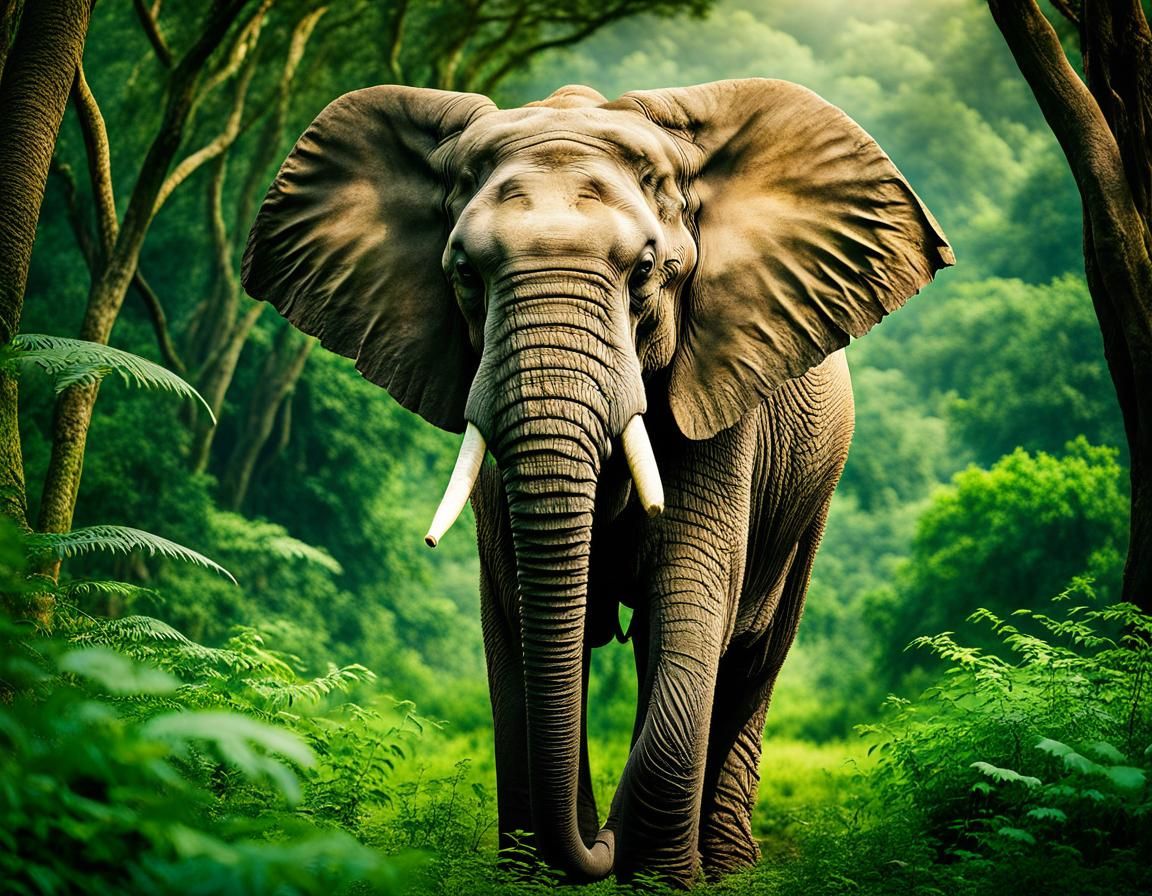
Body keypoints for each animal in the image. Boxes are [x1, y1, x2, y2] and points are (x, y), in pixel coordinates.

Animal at [241, 78, 952, 885]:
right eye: (464, 274)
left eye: (644, 271)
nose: (600, 842)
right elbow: (520, 614)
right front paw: (533, 875)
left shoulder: (720, 396)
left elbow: (690, 603)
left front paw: (660, 880)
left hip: (814, 494)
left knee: (752, 654)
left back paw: (725, 865)